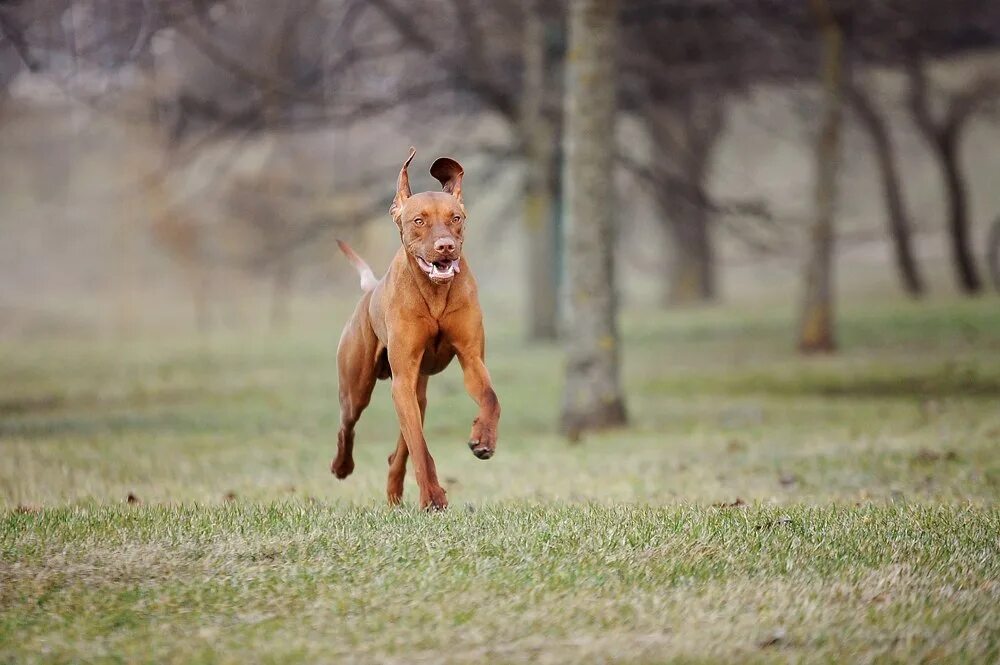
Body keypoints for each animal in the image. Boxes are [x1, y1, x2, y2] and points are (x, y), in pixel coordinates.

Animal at [332, 147, 500, 508]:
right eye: (418, 221)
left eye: (456, 218)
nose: (445, 246)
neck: (434, 294)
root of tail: (370, 291)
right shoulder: (403, 378)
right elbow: (421, 448)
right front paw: (433, 497)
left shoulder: (471, 359)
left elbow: (490, 397)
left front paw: (483, 438)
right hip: (358, 386)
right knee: (347, 424)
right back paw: (342, 465)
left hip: (416, 393)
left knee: (400, 449)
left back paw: (394, 494)